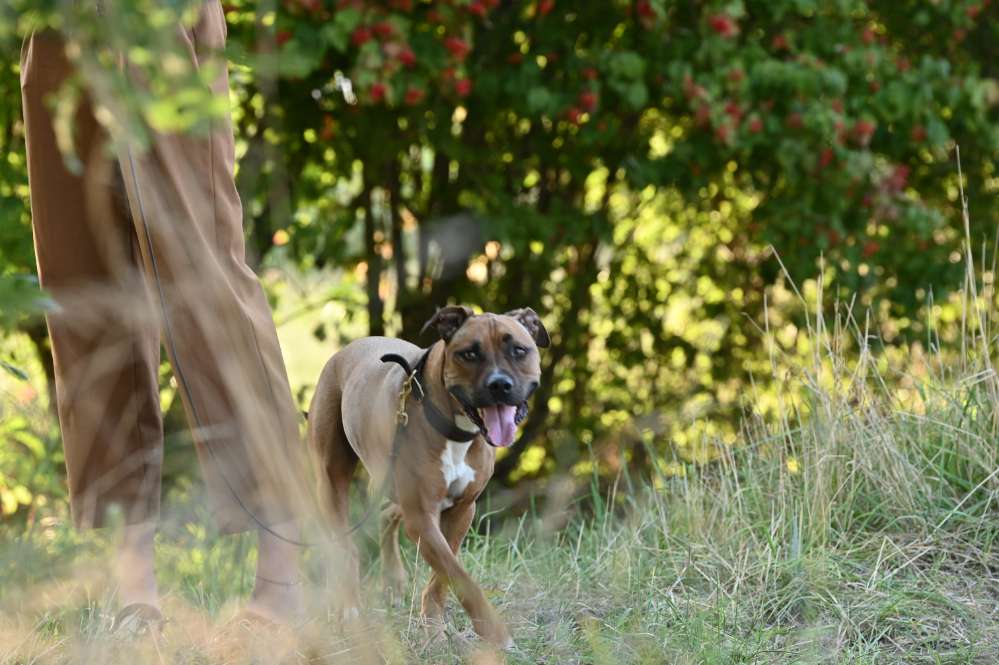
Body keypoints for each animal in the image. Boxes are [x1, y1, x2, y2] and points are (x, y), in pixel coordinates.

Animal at [308, 304, 552, 644]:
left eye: (518, 350)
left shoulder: (461, 510)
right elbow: (457, 573)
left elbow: (444, 572)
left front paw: (433, 623)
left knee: (386, 513)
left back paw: (393, 580)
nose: (499, 384)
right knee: (345, 547)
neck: (455, 428)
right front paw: (493, 630)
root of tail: (347, 349)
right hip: (331, 481)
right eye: (469, 353)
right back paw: (349, 607)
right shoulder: (422, 516)